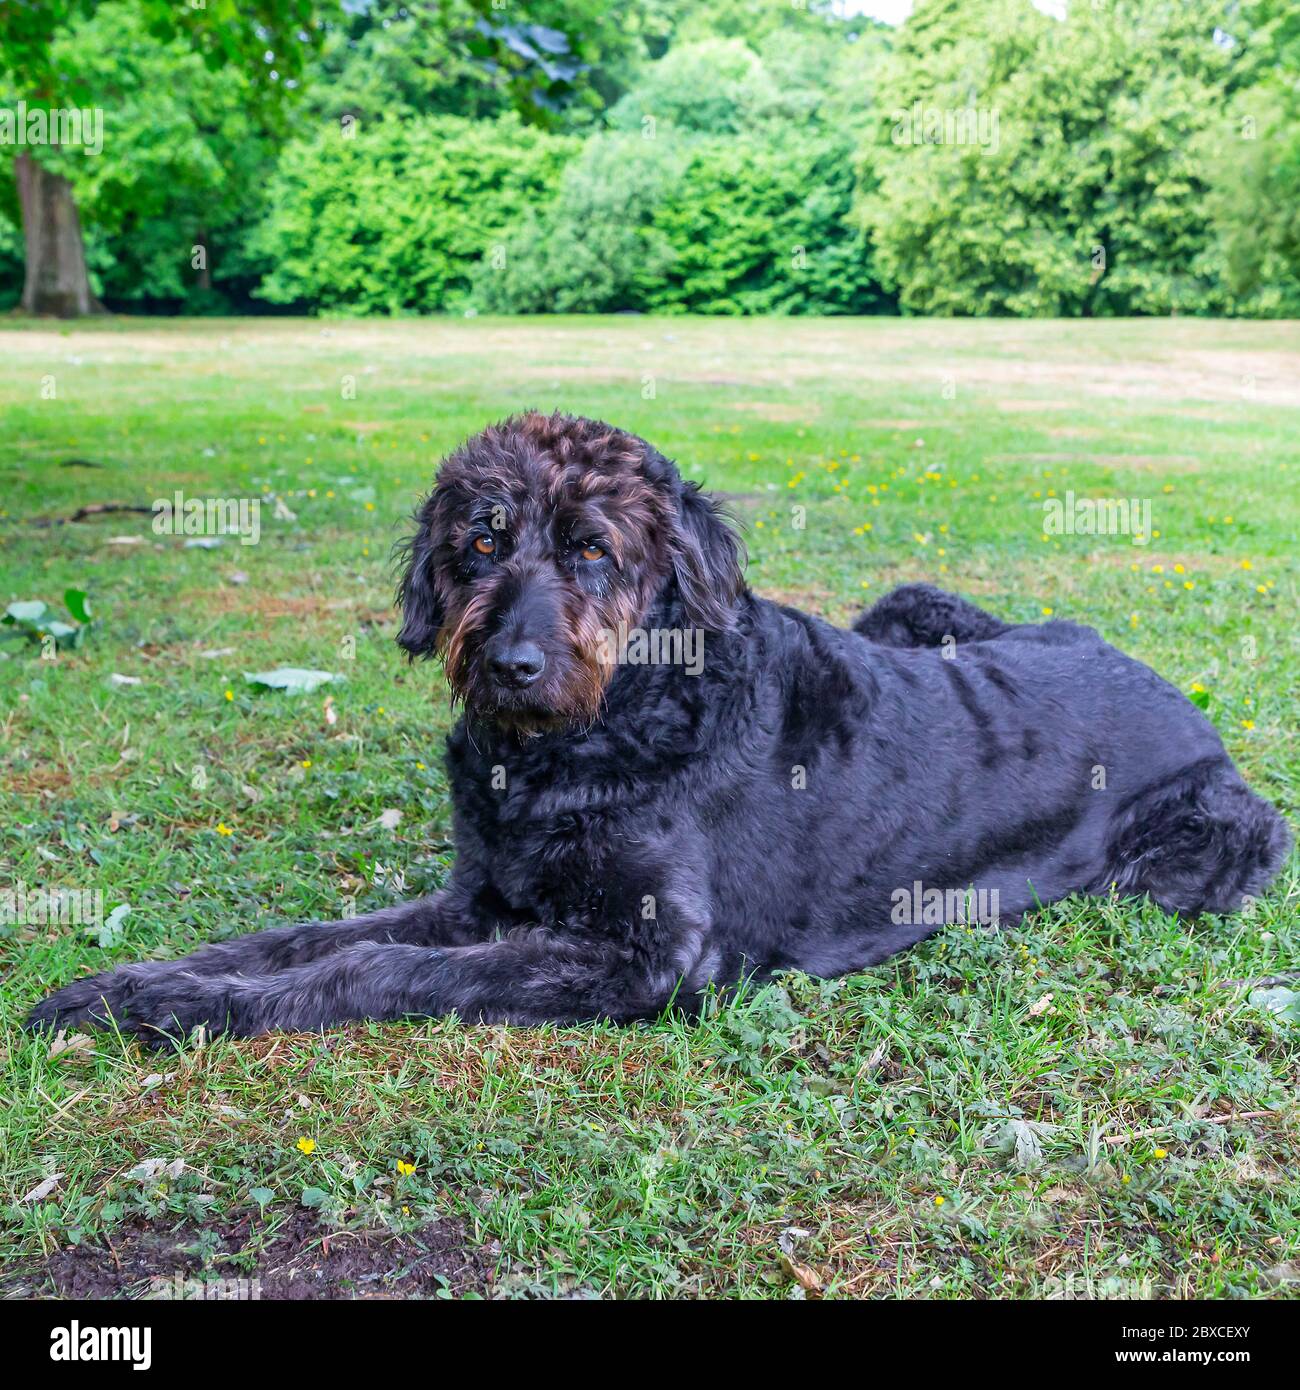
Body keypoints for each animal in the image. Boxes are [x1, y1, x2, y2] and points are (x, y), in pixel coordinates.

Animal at [27, 411, 1290, 1045]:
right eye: (480, 539)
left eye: (593, 548)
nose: (511, 664)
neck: (581, 745)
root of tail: (1158, 675)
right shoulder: (481, 896)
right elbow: (299, 937)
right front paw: (147, 983)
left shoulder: (650, 954)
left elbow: (375, 968)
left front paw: (188, 1010)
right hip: (911, 604)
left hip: (1201, 852)